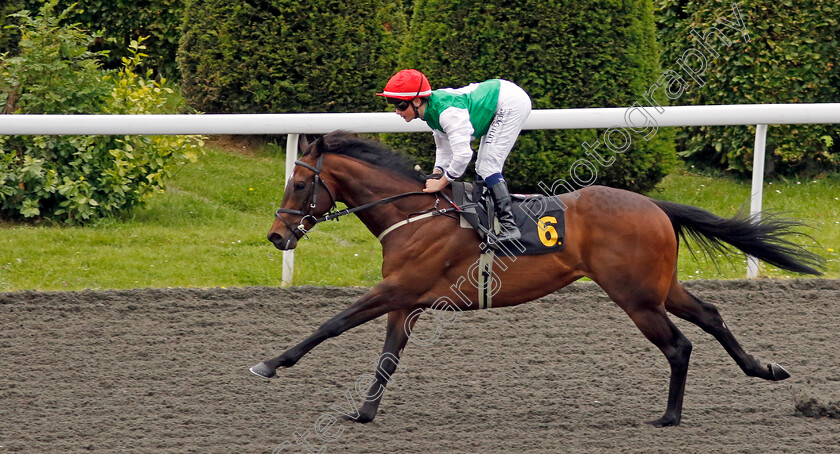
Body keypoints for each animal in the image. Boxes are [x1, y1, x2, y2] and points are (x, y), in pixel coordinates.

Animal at [251, 130, 828, 426]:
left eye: (299, 183)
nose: (277, 236)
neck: (415, 213)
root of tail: (654, 206)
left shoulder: (396, 289)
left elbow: (333, 323)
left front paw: (270, 363)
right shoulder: (405, 300)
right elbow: (389, 355)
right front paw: (365, 412)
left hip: (636, 297)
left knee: (679, 345)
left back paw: (668, 417)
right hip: (660, 287)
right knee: (710, 315)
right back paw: (765, 369)